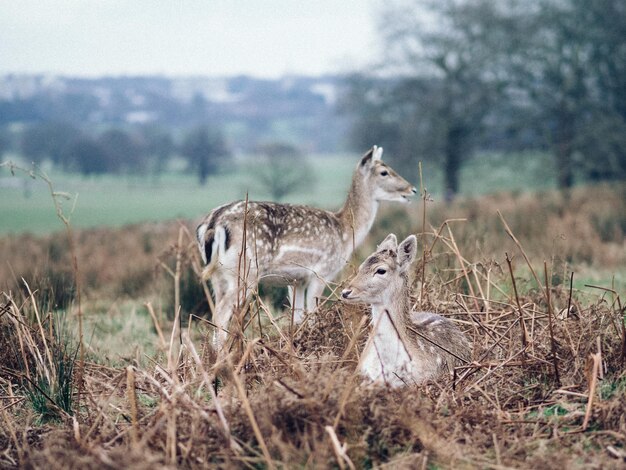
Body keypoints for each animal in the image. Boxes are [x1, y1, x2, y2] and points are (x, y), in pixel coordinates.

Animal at [195, 145, 414, 346]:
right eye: (384, 171)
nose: (412, 189)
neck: (344, 233)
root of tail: (213, 224)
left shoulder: (296, 280)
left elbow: (299, 316)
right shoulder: (321, 272)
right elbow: (313, 314)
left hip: (218, 275)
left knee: (216, 311)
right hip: (245, 270)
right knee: (221, 313)